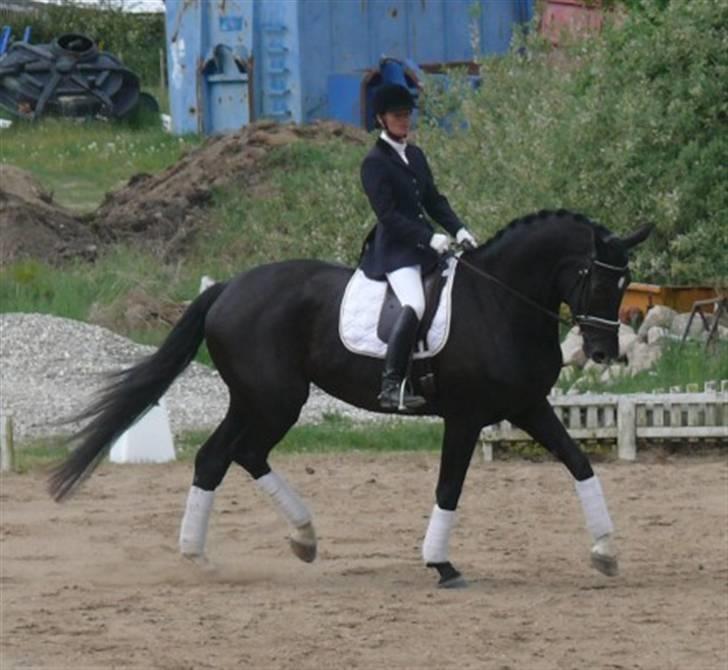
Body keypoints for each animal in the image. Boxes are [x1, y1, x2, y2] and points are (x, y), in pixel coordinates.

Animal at [48, 210, 652, 588]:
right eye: (594, 277)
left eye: (625, 286)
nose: (603, 351)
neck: (500, 303)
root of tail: (229, 287)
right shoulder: (465, 417)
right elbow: (449, 487)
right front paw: (441, 565)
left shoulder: (528, 407)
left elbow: (578, 463)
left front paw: (606, 552)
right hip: (274, 399)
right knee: (233, 454)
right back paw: (236, 547)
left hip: (256, 400)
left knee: (223, 457)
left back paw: (269, 545)